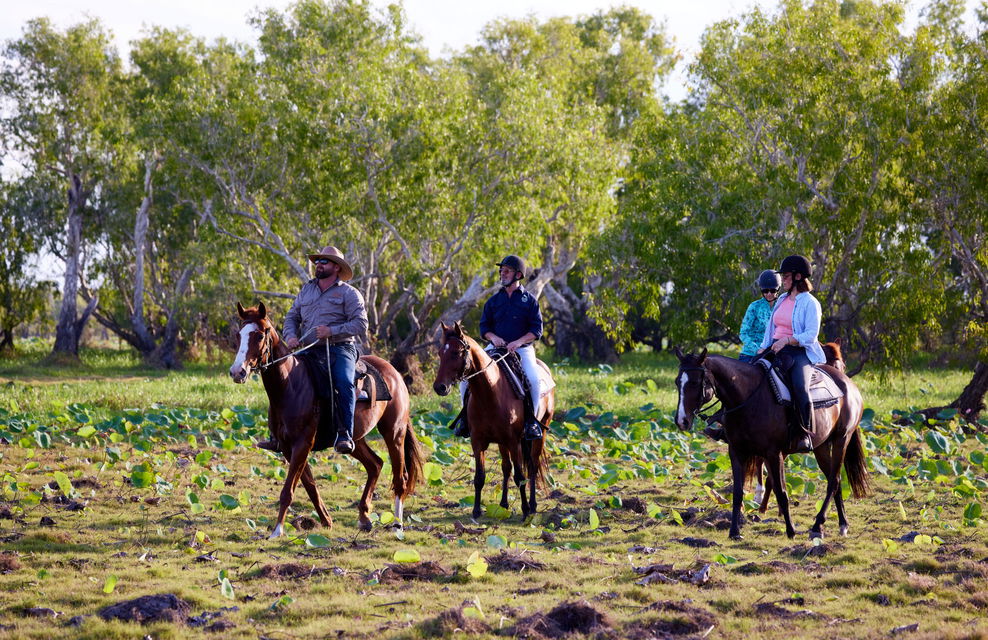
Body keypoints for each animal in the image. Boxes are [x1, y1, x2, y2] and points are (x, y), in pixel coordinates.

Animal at [229, 302, 424, 537]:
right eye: (239, 335)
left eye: (258, 335)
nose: (237, 372)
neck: (290, 386)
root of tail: (395, 374)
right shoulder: (287, 447)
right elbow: (310, 486)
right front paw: (327, 521)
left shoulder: (302, 444)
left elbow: (288, 491)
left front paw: (277, 530)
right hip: (353, 439)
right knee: (375, 465)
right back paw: (364, 517)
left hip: (394, 433)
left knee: (399, 479)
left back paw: (397, 526)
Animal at [432, 321, 553, 521]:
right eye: (441, 353)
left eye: (456, 353)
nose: (440, 387)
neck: (489, 394)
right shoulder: (478, 441)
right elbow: (480, 477)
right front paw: (476, 511)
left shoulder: (513, 441)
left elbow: (520, 477)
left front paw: (525, 510)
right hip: (502, 442)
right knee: (506, 467)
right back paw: (503, 504)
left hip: (540, 432)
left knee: (532, 466)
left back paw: (533, 505)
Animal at [674, 347, 869, 539]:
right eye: (677, 382)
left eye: (694, 383)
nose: (681, 421)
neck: (750, 398)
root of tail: (848, 383)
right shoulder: (736, 451)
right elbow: (738, 493)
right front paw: (734, 532)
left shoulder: (773, 453)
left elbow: (781, 492)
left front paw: (790, 531)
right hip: (821, 446)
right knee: (834, 480)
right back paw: (840, 524)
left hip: (841, 440)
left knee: (833, 481)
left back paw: (818, 526)